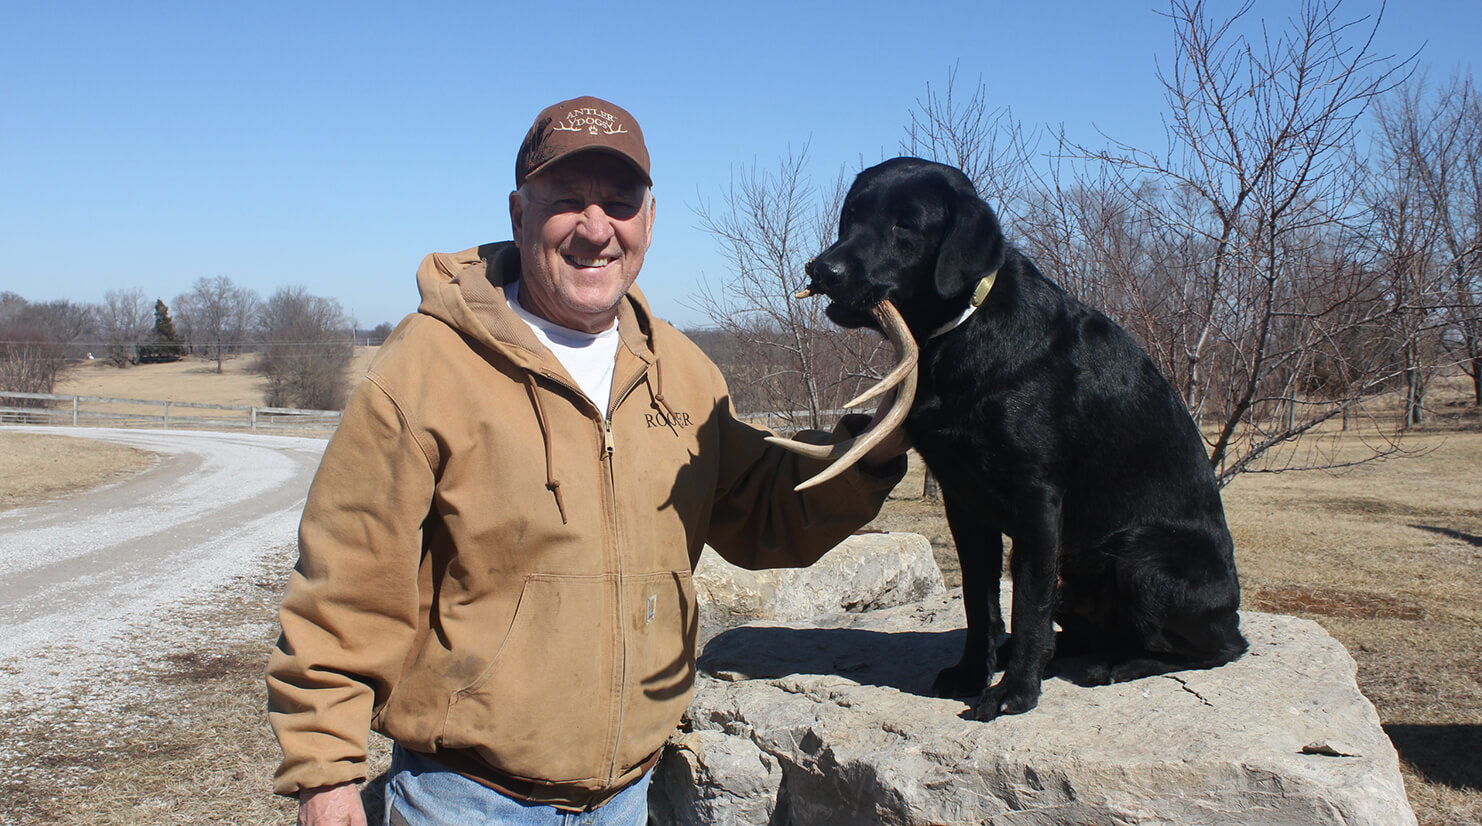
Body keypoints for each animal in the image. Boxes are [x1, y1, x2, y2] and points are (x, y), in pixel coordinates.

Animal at [800, 156, 1238, 714]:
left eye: (906, 225)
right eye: (853, 214)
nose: (821, 269)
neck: (963, 330)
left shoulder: (1038, 500)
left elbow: (1027, 603)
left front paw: (1014, 693)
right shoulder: (962, 502)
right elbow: (979, 601)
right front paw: (972, 673)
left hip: (1142, 558)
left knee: (1213, 650)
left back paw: (1116, 665)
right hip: (1078, 577)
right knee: (1080, 631)